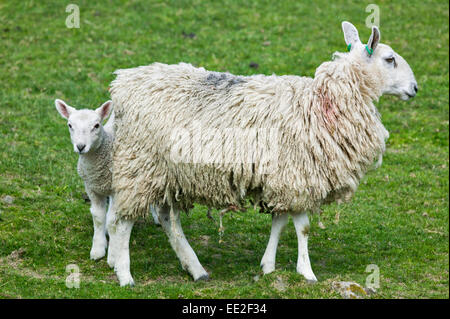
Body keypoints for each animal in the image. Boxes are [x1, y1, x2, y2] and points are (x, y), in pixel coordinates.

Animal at [106, 22, 418, 288]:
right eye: (390, 59)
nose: (415, 88)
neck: (324, 102)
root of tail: (122, 83)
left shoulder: (283, 179)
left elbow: (279, 223)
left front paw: (268, 266)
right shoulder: (298, 175)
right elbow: (303, 228)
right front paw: (307, 272)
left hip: (166, 172)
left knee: (167, 219)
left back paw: (196, 269)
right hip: (139, 164)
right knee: (122, 222)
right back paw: (125, 275)